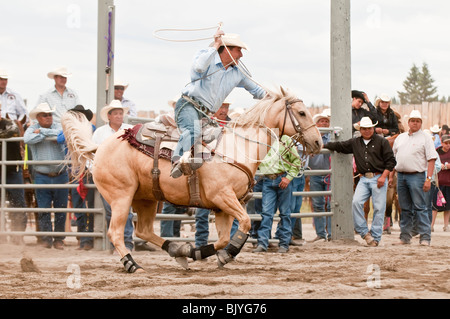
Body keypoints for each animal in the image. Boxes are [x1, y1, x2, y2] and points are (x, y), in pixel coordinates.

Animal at [61, 87, 322, 272]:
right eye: (301, 112)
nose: (318, 142)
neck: (238, 147)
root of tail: (99, 148)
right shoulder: (224, 197)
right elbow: (246, 224)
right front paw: (227, 255)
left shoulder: (223, 207)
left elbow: (224, 237)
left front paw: (198, 253)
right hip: (121, 197)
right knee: (115, 233)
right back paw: (132, 264)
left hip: (146, 199)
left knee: (144, 231)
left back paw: (178, 250)